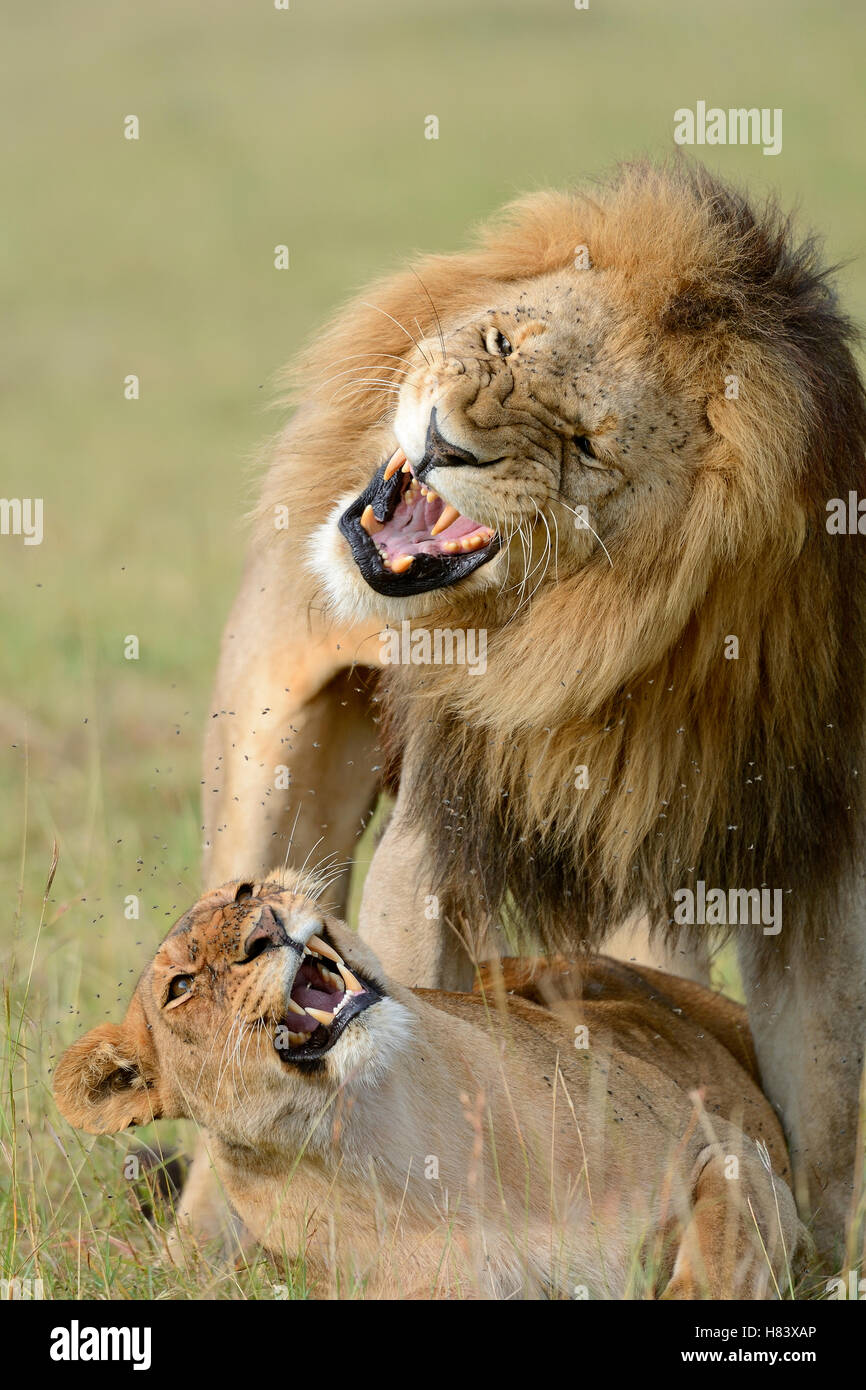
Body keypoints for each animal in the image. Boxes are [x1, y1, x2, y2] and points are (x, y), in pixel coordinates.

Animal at [54, 877, 807, 1299]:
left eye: (243, 896)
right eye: (180, 987)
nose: (265, 929)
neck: (403, 1142)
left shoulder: (725, 1152)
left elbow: (721, 1253)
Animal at [203, 160, 866, 1258]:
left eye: (582, 443)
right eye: (503, 343)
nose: (446, 440)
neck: (555, 644)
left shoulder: (792, 860)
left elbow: (820, 1095)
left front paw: (812, 1257)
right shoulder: (437, 831)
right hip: (274, 763)